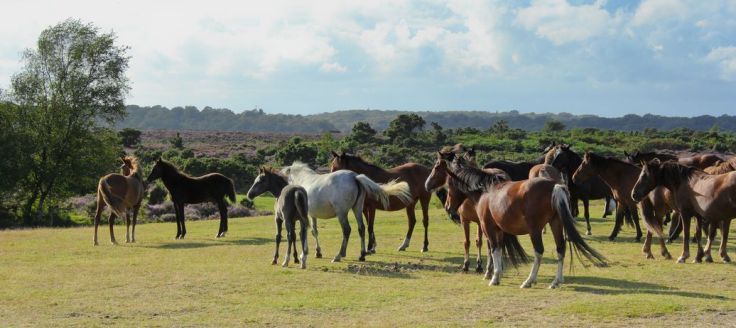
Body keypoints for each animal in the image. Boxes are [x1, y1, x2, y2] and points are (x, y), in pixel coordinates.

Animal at [282, 161, 414, 262]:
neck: (304, 180)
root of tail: (354, 177)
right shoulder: (313, 215)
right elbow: (314, 231)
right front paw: (317, 252)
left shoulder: (308, 215)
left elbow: (310, 231)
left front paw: (313, 253)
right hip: (357, 209)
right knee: (361, 228)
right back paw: (362, 255)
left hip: (342, 214)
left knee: (347, 230)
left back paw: (339, 255)